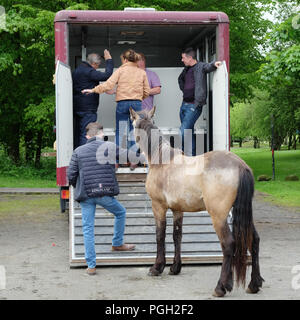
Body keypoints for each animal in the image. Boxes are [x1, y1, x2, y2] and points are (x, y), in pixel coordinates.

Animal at [130, 107, 264, 298]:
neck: (162, 160)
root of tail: (240, 165)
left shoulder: (159, 207)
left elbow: (160, 236)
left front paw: (157, 267)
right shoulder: (178, 210)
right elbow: (177, 236)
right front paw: (175, 268)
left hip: (219, 216)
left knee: (228, 244)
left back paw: (221, 287)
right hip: (244, 214)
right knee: (254, 241)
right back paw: (254, 284)